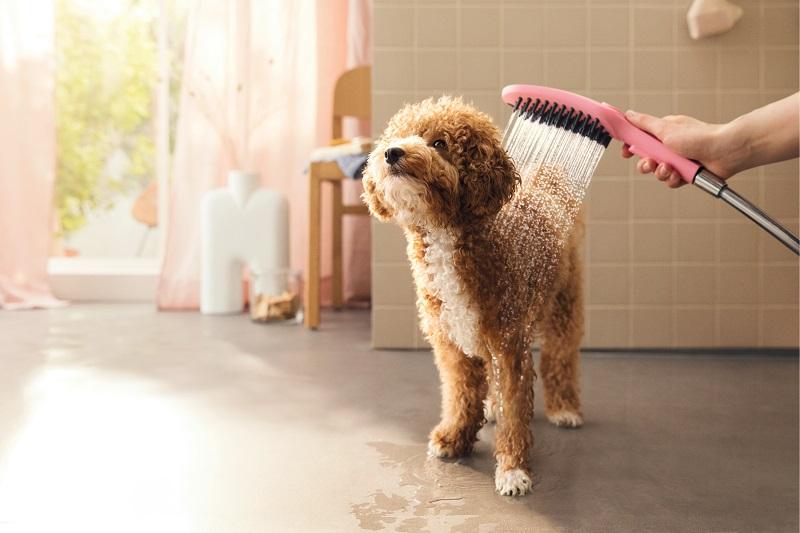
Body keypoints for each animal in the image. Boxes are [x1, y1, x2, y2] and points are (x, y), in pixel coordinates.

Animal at [360, 94, 580, 494]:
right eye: (398, 135)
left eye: (439, 143)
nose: (393, 152)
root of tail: (548, 177)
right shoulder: (451, 343)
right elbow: (460, 394)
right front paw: (454, 438)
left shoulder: (510, 346)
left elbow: (514, 412)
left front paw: (513, 470)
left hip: (563, 305)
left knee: (561, 357)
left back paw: (565, 408)